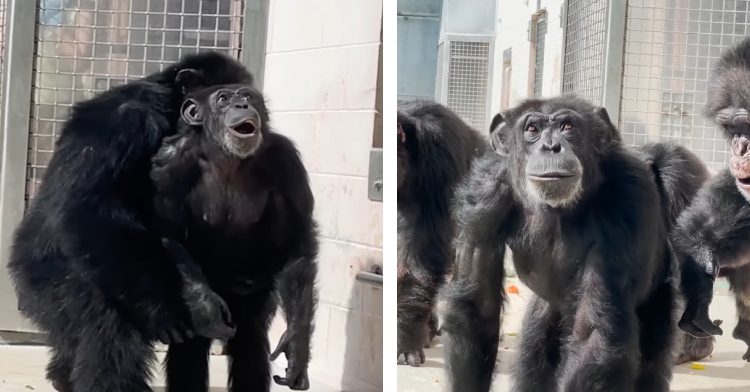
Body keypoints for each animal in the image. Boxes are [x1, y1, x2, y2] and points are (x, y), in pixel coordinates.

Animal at [151, 83, 318, 392]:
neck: (225, 156)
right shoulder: (169, 162)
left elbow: (298, 241)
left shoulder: (286, 158)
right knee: (190, 348)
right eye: (224, 99)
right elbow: (166, 230)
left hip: (252, 286)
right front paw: (206, 308)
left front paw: (296, 347)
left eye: (248, 96)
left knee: (250, 337)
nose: (242, 105)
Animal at [440, 95, 712, 392]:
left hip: (659, 297)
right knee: (534, 358)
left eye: (567, 126)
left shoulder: (628, 197)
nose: (551, 146)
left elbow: (592, 335)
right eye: (532, 129)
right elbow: (477, 304)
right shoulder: (484, 191)